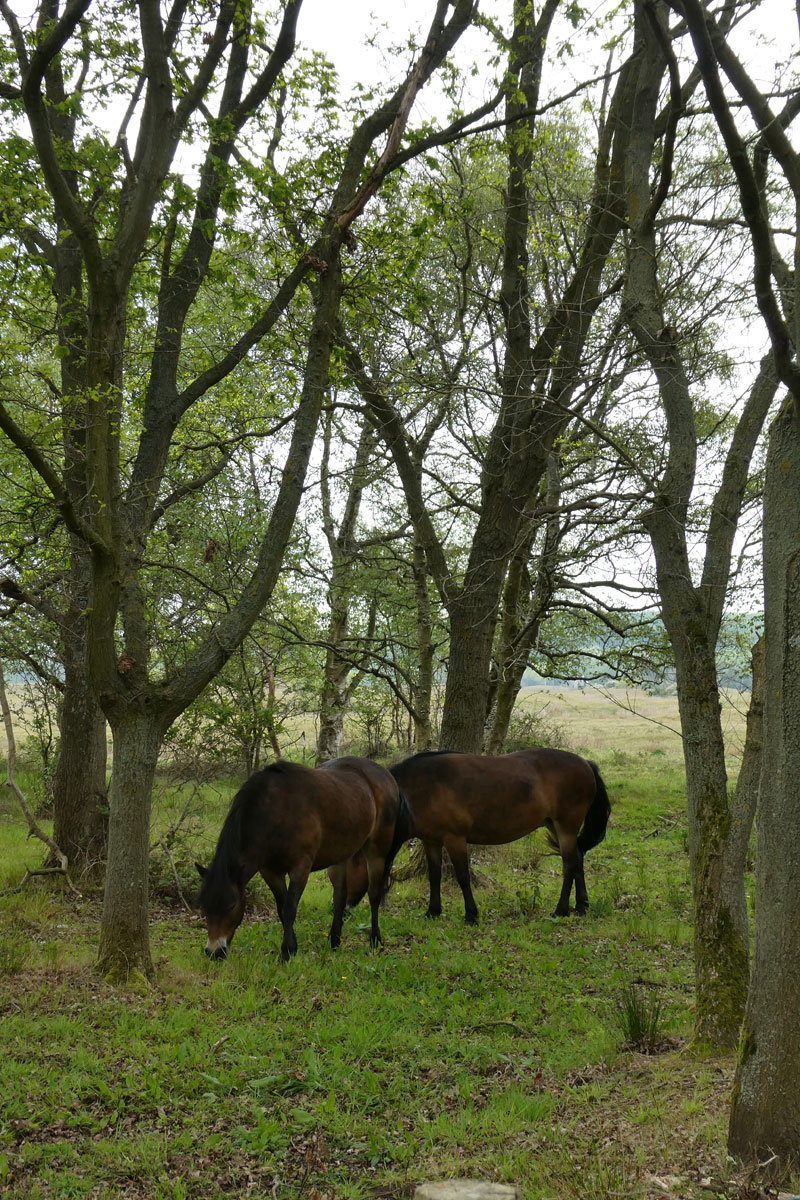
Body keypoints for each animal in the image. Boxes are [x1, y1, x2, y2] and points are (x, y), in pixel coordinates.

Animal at [196, 756, 412, 961]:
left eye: (231, 905)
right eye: (204, 905)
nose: (214, 951)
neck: (275, 811)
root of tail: (387, 776)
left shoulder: (300, 868)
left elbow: (290, 909)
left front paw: (286, 952)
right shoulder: (270, 871)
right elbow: (282, 909)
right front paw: (292, 948)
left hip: (376, 849)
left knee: (374, 894)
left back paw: (375, 940)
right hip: (340, 853)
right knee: (340, 896)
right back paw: (335, 942)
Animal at [382, 747, 610, 923]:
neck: (426, 787)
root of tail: (585, 763)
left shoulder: (455, 839)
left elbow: (463, 876)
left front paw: (471, 915)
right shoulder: (431, 842)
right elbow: (434, 876)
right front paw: (433, 911)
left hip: (566, 827)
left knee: (569, 865)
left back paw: (560, 910)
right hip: (555, 826)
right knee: (578, 858)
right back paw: (581, 906)